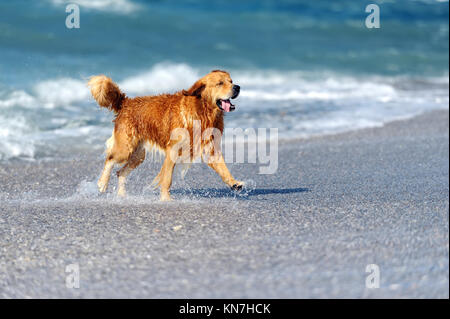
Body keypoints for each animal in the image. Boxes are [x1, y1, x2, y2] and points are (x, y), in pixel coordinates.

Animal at [88, 70, 243, 201]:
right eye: (220, 83)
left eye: (231, 81)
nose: (237, 87)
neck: (202, 110)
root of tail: (126, 102)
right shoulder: (172, 150)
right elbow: (167, 178)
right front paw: (166, 199)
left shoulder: (210, 149)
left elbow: (223, 169)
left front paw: (234, 183)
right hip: (125, 149)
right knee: (110, 159)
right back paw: (102, 183)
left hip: (138, 155)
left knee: (121, 172)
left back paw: (121, 195)